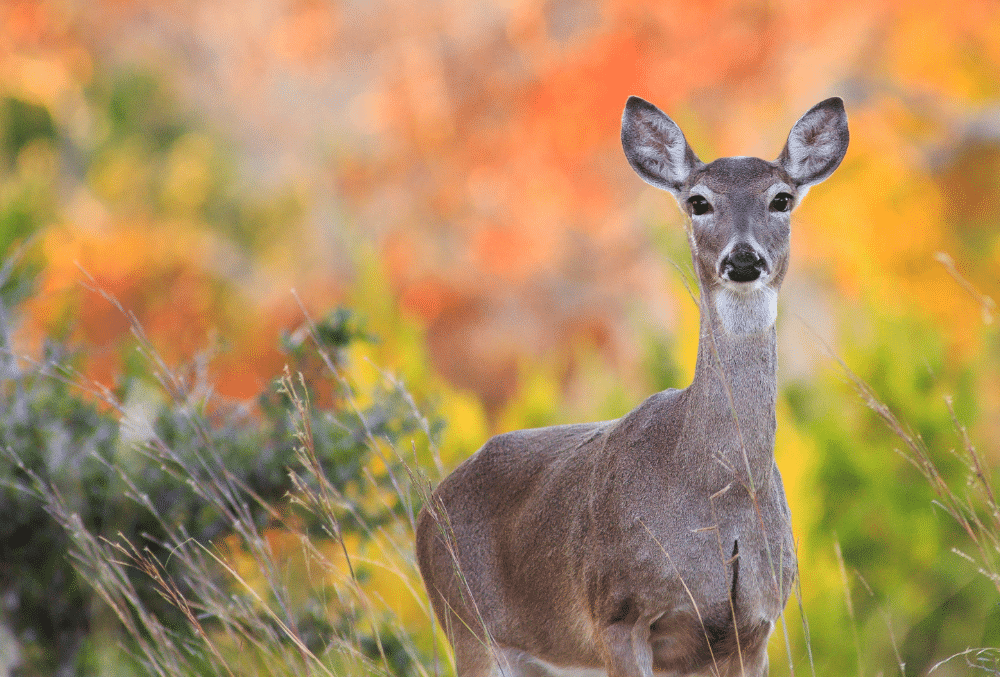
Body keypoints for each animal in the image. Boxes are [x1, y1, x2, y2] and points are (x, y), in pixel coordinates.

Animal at [418, 96, 848, 676]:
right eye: (698, 202)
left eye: (781, 198)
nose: (742, 258)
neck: (715, 488)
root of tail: (426, 513)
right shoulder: (616, 612)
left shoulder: (753, 627)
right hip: (468, 628)